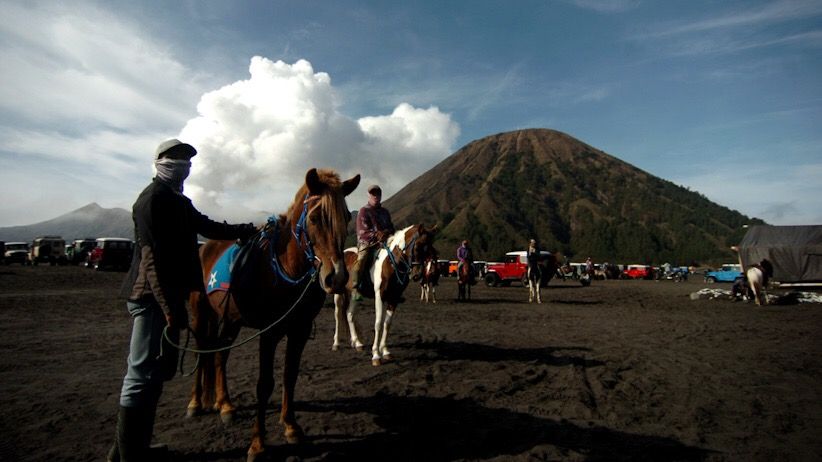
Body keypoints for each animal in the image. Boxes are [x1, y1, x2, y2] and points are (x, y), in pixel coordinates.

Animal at [187, 170, 360, 462]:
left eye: (347, 217)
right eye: (315, 217)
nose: (336, 278)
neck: (286, 269)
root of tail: (203, 248)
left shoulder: (299, 330)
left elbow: (290, 375)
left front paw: (291, 427)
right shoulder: (268, 333)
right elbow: (264, 384)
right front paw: (257, 444)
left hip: (230, 320)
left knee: (220, 355)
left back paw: (225, 405)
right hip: (200, 315)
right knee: (202, 353)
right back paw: (196, 402)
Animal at [334, 223, 440, 364]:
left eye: (430, 249)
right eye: (417, 246)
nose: (417, 275)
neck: (390, 264)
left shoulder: (393, 298)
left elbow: (387, 324)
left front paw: (385, 351)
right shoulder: (379, 296)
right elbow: (378, 323)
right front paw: (375, 355)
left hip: (353, 295)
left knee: (350, 314)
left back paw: (357, 343)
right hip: (338, 294)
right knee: (338, 315)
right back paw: (336, 343)